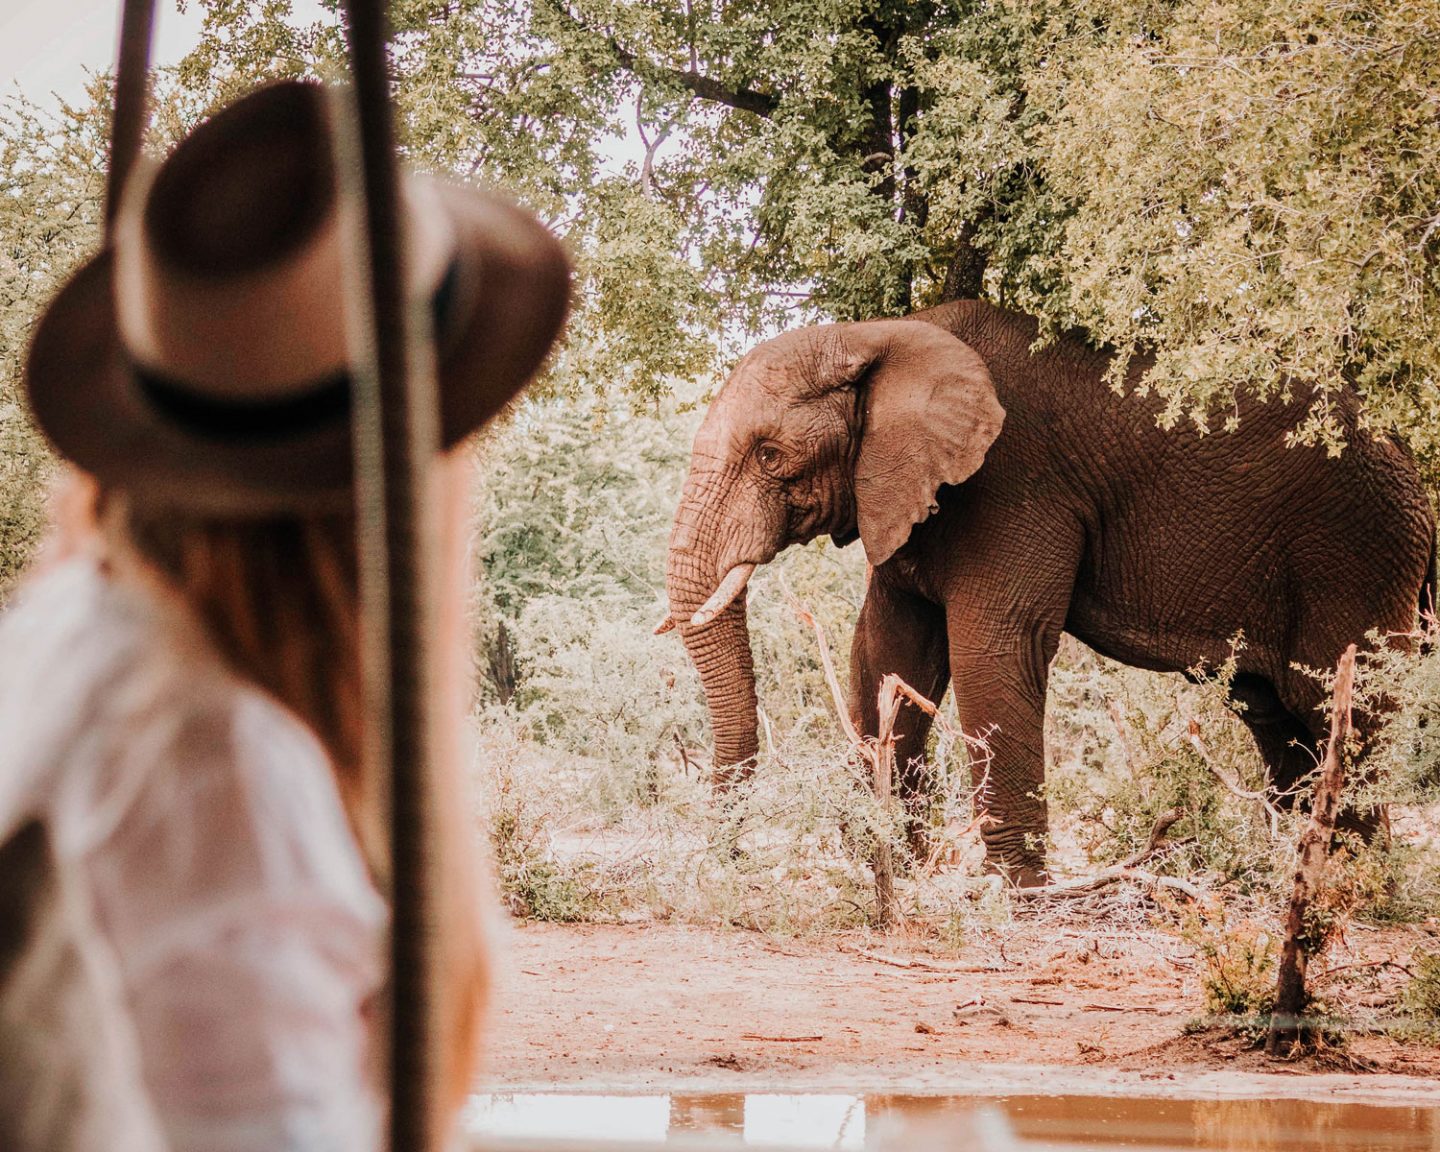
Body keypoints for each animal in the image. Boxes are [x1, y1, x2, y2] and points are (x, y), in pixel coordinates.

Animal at [659, 296, 1434, 881]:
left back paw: (1351, 883)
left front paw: (1016, 892)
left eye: (771, 456)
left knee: (1339, 706)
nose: (731, 862)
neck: (876, 336)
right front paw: (893, 865)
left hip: (1356, 552)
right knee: (1276, 715)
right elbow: (887, 655)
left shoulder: (1014, 484)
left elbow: (994, 651)